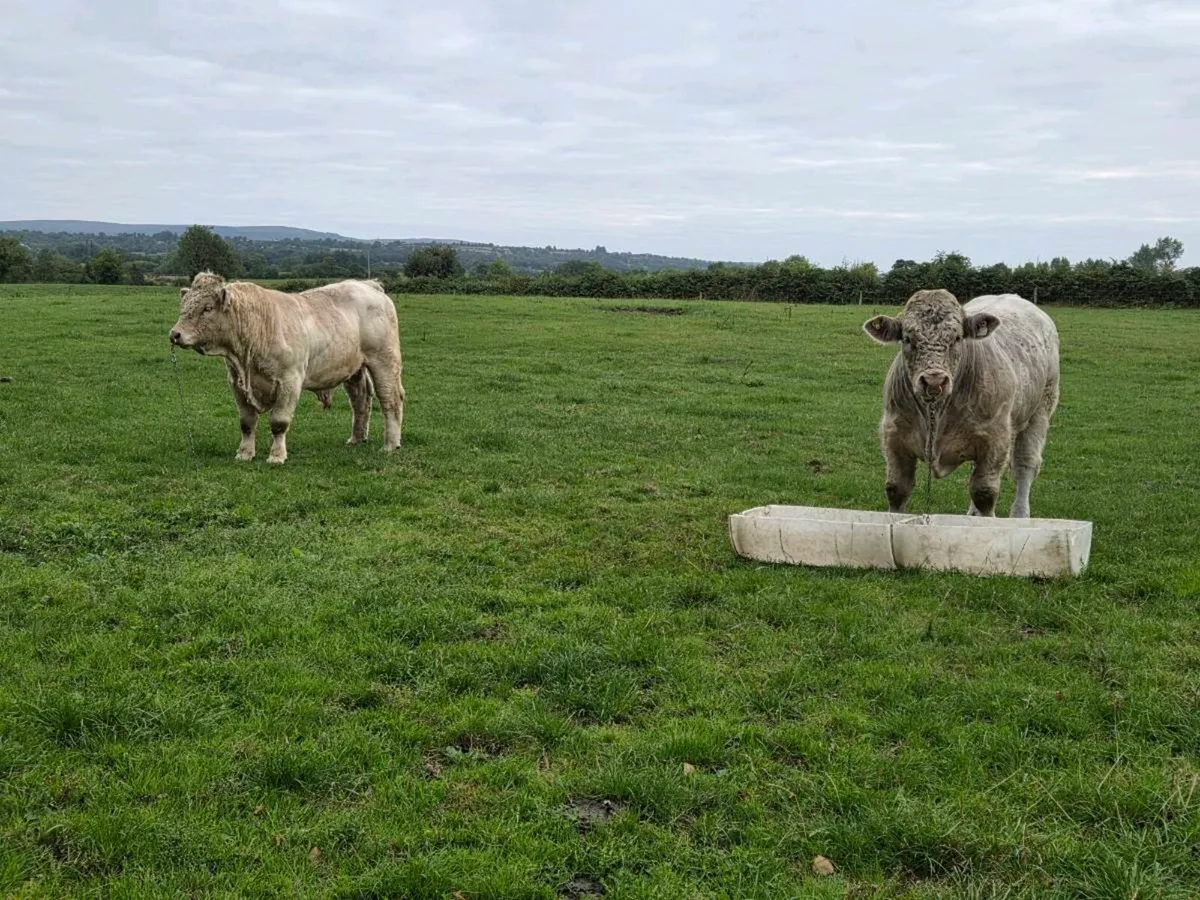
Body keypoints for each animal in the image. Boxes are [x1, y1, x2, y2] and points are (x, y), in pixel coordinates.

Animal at [169, 272, 405, 464]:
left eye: (207, 308)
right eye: (183, 307)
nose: (175, 334)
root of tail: (368, 284)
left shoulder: (289, 381)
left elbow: (279, 422)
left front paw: (276, 456)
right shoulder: (236, 384)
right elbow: (247, 422)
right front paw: (244, 453)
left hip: (384, 360)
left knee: (390, 400)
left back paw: (390, 445)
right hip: (353, 368)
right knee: (360, 401)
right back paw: (357, 438)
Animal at [862, 289, 1060, 518]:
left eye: (957, 338)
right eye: (908, 339)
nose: (934, 381)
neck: (935, 413)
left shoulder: (996, 438)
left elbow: (984, 493)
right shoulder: (894, 436)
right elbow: (896, 490)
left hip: (1041, 408)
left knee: (1025, 465)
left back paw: (1020, 515)